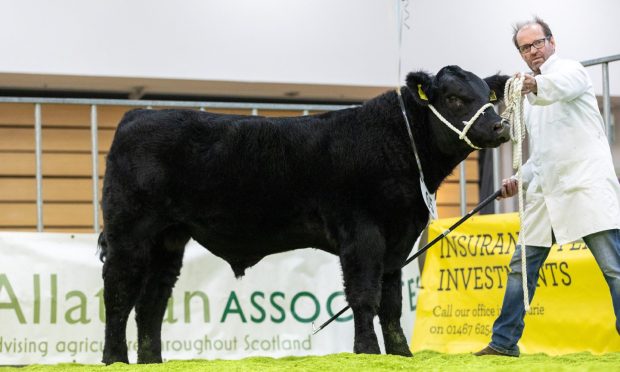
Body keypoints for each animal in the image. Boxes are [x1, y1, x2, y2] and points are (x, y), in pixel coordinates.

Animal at [99, 66, 512, 364]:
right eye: (455, 98)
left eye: (488, 96)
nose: (500, 126)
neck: (400, 145)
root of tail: (136, 115)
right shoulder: (362, 232)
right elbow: (365, 295)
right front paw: (367, 352)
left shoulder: (398, 238)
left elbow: (392, 302)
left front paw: (400, 354)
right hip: (129, 231)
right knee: (119, 292)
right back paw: (114, 359)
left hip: (168, 238)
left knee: (151, 301)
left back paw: (151, 362)